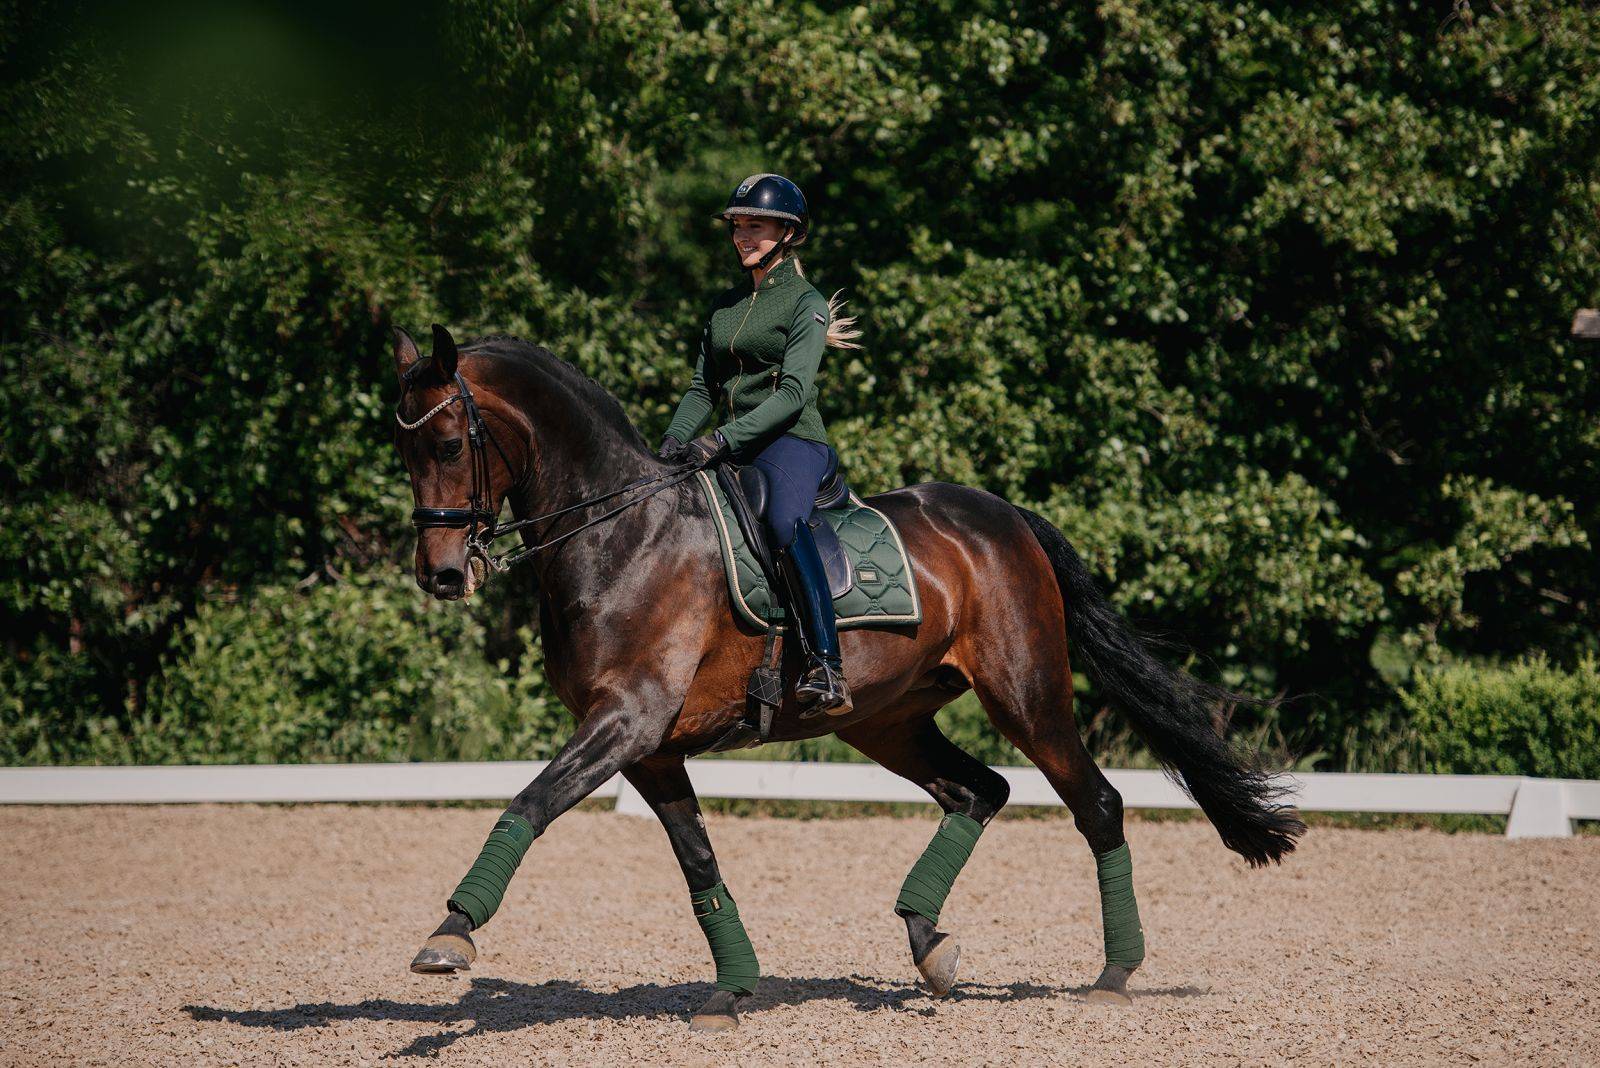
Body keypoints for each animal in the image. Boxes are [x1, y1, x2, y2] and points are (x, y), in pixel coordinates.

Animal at [387, 327, 1299, 1036]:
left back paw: (1111, 977)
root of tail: (1004, 516)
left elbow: (529, 803)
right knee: (980, 791)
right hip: (885, 719)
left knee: (1095, 803)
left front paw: (450, 936)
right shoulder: (649, 747)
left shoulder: (627, 721)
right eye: (404, 452)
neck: (622, 533)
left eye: (448, 445)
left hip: (1027, 697)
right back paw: (931, 945)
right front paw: (731, 991)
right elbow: (698, 861)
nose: (441, 575)